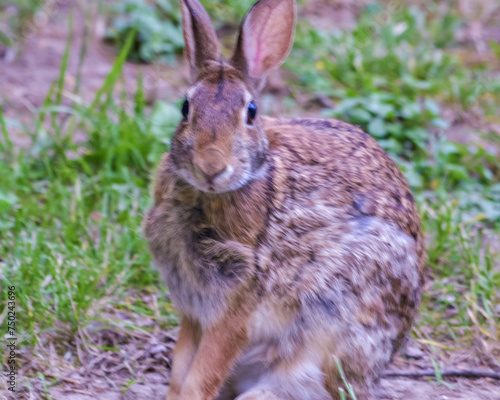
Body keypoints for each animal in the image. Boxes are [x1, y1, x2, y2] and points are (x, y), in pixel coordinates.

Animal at [143, 0, 424, 398]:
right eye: (185, 107)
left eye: (251, 112)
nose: (211, 167)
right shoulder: (193, 312)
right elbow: (180, 372)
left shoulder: (236, 310)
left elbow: (201, 377)